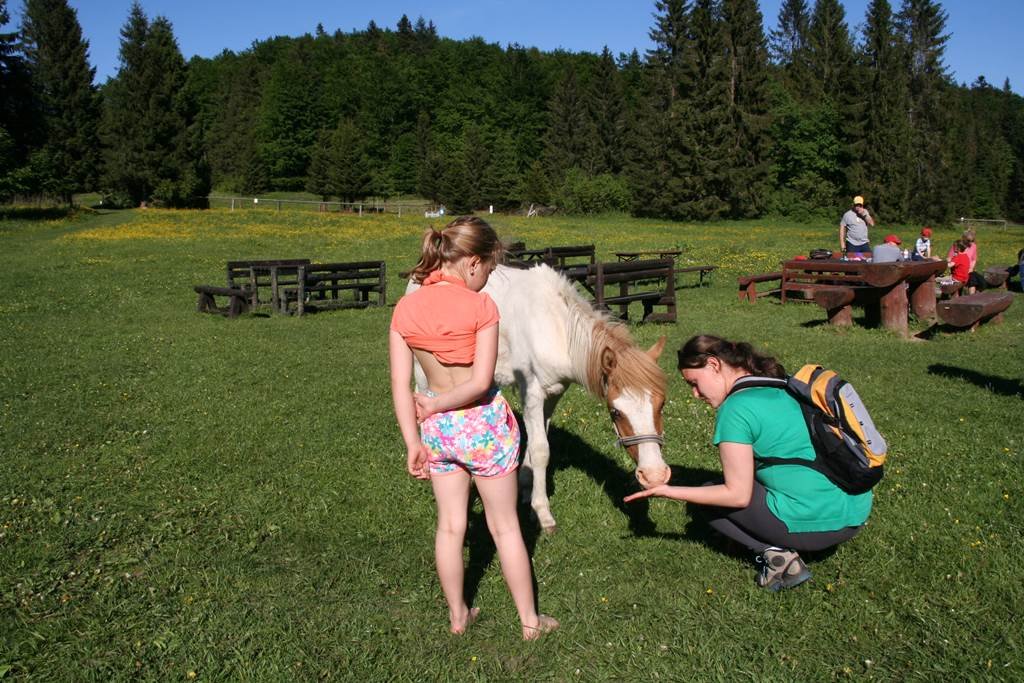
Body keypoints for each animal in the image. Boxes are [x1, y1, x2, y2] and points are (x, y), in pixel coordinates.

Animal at [407, 264, 671, 532]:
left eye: (661, 404)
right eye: (616, 411)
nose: (655, 475)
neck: (555, 328)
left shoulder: (553, 393)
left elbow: (537, 444)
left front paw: (525, 488)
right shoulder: (532, 393)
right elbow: (541, 449)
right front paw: (543, 512)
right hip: (423, 372)